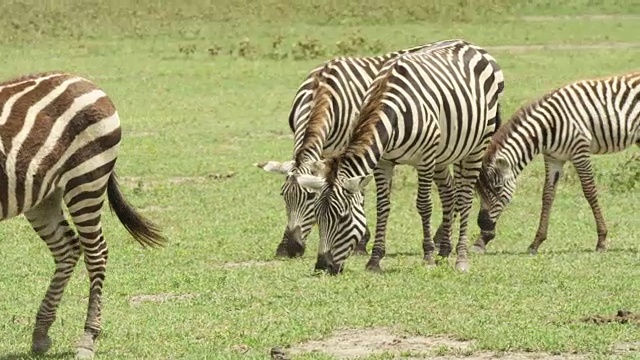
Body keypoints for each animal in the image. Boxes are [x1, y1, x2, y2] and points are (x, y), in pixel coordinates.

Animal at [0, 71, 168, 358]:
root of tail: (84, 80)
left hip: (86, 177)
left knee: (96, 252)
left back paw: (87, 339)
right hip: (43, 196)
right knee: (67, 248)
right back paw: (41, 334)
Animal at [252, 40, 458, 258]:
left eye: (310, 197)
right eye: (283, 196)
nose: (293, 248)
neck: (321, 91)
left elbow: (358, 192)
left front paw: (361, 242)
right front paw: (282, 245)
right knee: (449, 187)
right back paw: (441, 237)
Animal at [290, 39, 504, 274]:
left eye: (343, 217)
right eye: (317, 215)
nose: (322, 266)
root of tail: (469, 44)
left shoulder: (425, 159)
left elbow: (423, 205)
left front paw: (427, 257)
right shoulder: (382, 162)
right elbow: (382, 207)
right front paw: (375, 259)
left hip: (475, 146)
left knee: (464, 197)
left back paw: (461, 258)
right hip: (446, 152)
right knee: (450, 193)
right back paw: (444, 252)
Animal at [472, 71, 636, 255]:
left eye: (498, 189)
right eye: (479, 192)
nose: (482, 224)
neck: (546, 127)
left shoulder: (580, 151)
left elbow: (589, 191)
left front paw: (601, 240)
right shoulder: (553, 158)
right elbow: (548, 195)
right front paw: (536, 242)